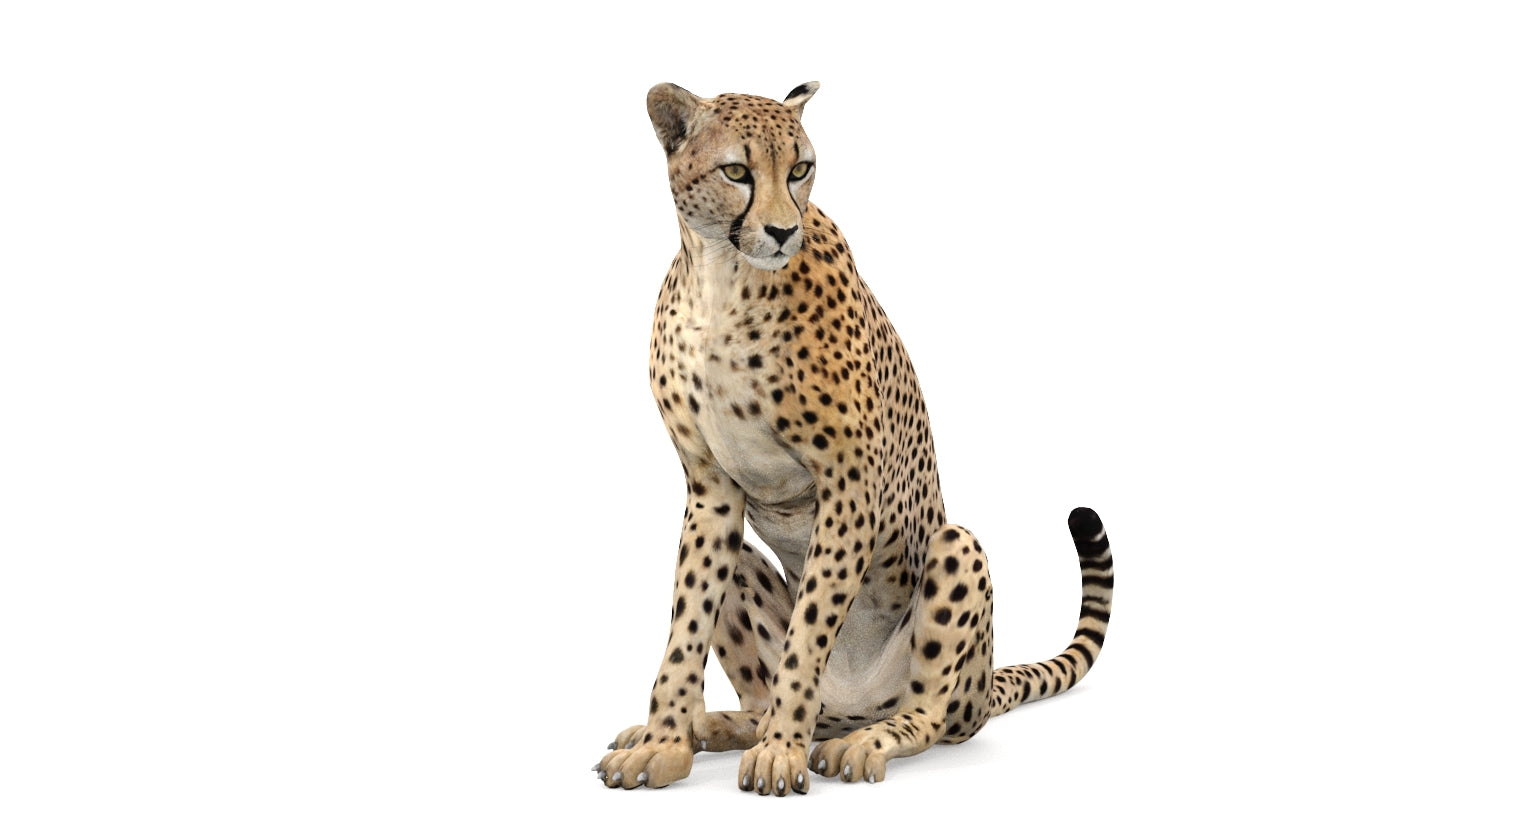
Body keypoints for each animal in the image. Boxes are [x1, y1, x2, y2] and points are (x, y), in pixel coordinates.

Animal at [595, 82, 1115, 796]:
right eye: (736, 171)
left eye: (800, 169)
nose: (782, 230)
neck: (723, 278)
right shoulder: (711, 492)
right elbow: (685, 626)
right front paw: (664, 743)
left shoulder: (851, 487)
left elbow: (810, 630)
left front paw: (781, 755)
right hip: (744, 557)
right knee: (757, 686)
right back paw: (722, 725)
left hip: (955, 557)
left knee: (924, 717)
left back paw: (858, 741)